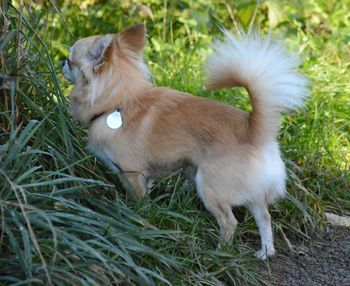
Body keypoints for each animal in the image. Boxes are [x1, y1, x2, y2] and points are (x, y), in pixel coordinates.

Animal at [63, 22, 308, 260]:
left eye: (69, 60)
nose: (61, 63)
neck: (119, 102)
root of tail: (253, 130)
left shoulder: (132, 173)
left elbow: (140, 200)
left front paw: (139, 220)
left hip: (209, 186)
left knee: (229, 222)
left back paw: (218, 253)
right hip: (251, 193)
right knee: (264, 218)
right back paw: (265, 252)